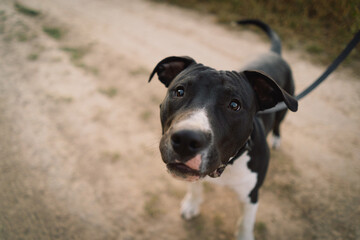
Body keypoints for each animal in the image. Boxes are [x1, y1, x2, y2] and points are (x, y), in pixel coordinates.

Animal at [148, 19, 296, 239]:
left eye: (234, 105)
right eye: (179, 91)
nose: (186, 139)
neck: (228, 165)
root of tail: (275, 54)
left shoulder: (252, 195)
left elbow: (246, 222)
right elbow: (195, 189)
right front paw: (191, 205)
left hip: (285, 108)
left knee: (279, 123)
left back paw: (277, 138)